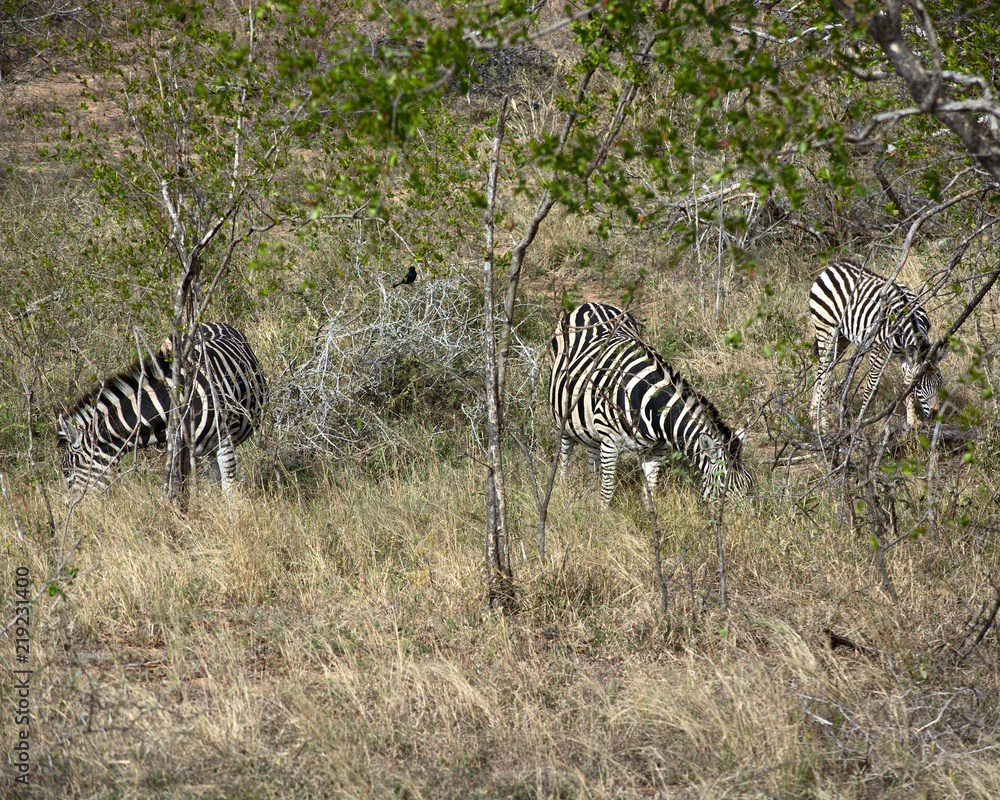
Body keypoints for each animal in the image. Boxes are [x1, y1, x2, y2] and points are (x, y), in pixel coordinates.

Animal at [56, 322, 267, 495]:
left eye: (67, 471)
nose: (71, 509)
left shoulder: (225, 438)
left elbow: (230, 487)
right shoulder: (179, 447)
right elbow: (179, 483)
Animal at [548, 302, 752, 506]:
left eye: (749, 484)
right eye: (723, 489)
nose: (744, 516)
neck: (650, 407)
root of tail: (592, 304)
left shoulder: (656, 450)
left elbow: (650, 490)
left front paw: (648, 515)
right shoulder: (610, 444)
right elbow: (607, 491)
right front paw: (602, 513)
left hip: (590, 420)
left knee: (591, 451)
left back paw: (590, 485)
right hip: (562, 417)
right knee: (564, 454)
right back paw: (564, 491)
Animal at [809, 260, 945, 432]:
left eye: (939, 384)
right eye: (919, 388)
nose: (934, 415)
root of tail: (834, 265)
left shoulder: (906, 354)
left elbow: (906, 385)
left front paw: (912, 422)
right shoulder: (878, 351)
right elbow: (871, 388)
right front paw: (859, 423)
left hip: (842, 337)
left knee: (823, 370)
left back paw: (813, 418)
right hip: (826, 329)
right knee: (824, 373)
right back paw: (823, 425)